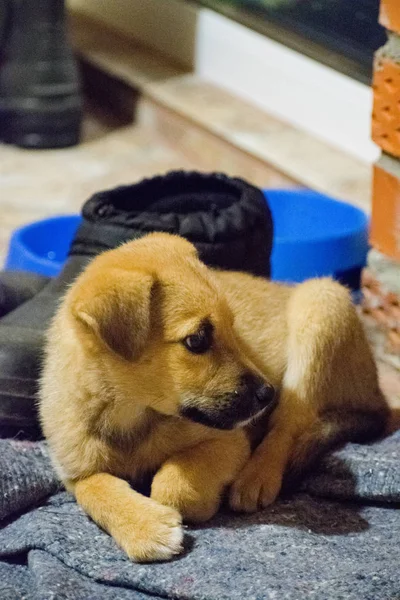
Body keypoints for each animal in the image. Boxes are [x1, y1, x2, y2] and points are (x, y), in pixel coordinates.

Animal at [39, 232, 390, 560]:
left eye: (233, 328)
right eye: (197, 340)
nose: (267, 394)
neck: (132, 414)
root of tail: (379, 397)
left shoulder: (228, 441)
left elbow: (172, 487)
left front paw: (186, 506)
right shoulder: (75, 471)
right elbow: (96, 490)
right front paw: (145, 527)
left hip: (321, 310)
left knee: (288, 427)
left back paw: (255, 478)